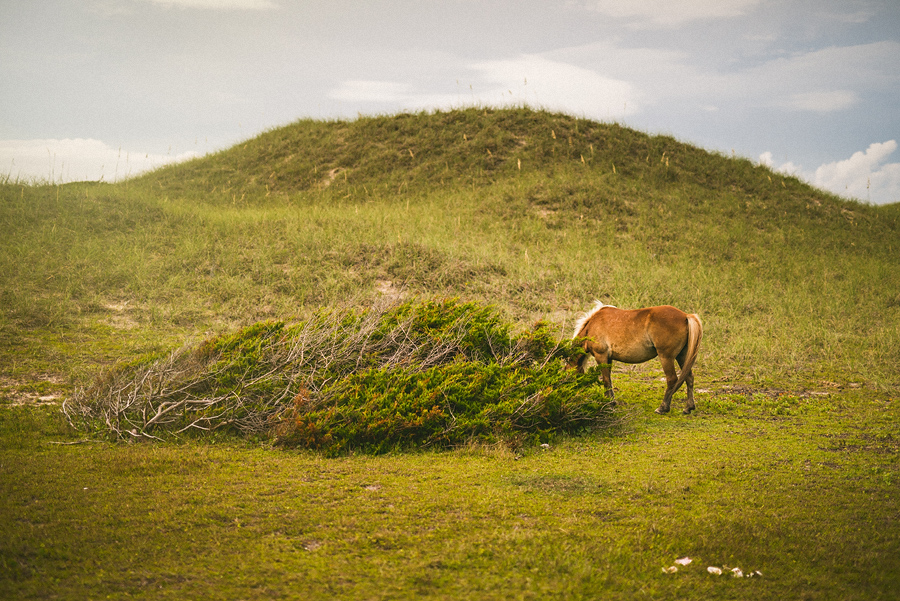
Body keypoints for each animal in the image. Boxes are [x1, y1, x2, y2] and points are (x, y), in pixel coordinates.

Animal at [570, 301, 702, 415]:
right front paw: (612, 401)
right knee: (689, 377)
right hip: (682, 357)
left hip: (666, 357)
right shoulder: (608, 358)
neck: (592, 325)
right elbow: (609, 380)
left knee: (672, 380)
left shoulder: (601, 356)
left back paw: (662, 408)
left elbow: (606, 380)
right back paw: (688, 407)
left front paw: (608, 404)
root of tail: (686, 316)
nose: (574, 396)